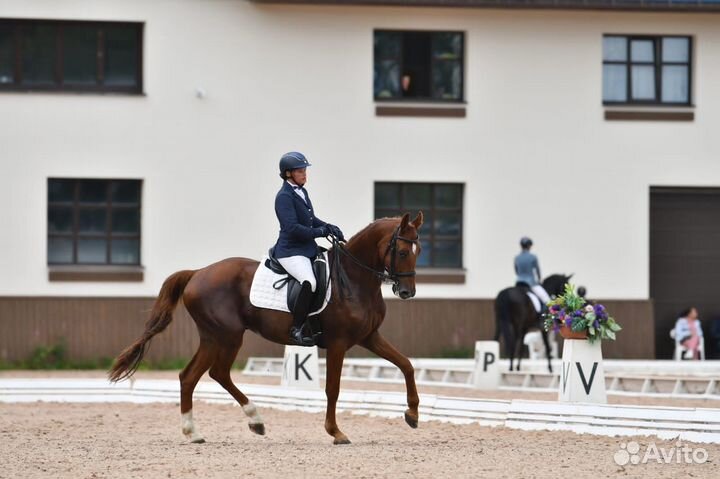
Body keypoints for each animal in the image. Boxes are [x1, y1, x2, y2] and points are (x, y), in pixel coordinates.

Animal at [109, 212, 424, 445]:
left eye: (419, 250)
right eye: (402, 251)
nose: (407, 292)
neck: (353, 279)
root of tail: (197, 273)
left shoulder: (369, 337)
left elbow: (406, 365)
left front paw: (412, 414)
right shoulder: (338, 343)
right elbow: (332, 388)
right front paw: (336, 432)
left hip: (212, 337)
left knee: (191, 376)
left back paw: (197, 432)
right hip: (228, 336)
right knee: (216, 373)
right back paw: (253, 420)